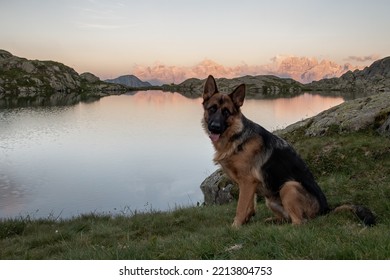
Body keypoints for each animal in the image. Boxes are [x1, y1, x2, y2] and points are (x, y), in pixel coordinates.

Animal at [201, 75, 374, 228]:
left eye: (226, 112)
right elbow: (250, 206)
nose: (214, 127)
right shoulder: (250, 185)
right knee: (287, 218)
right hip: (271, 199)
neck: (236, 135)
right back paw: (272, 221)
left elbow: (241, 208)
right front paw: (246, 221)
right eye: (212, 109)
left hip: (289, 186)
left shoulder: (247, 182)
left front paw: (235, 227)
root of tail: (325, 210)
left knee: (299, 223)